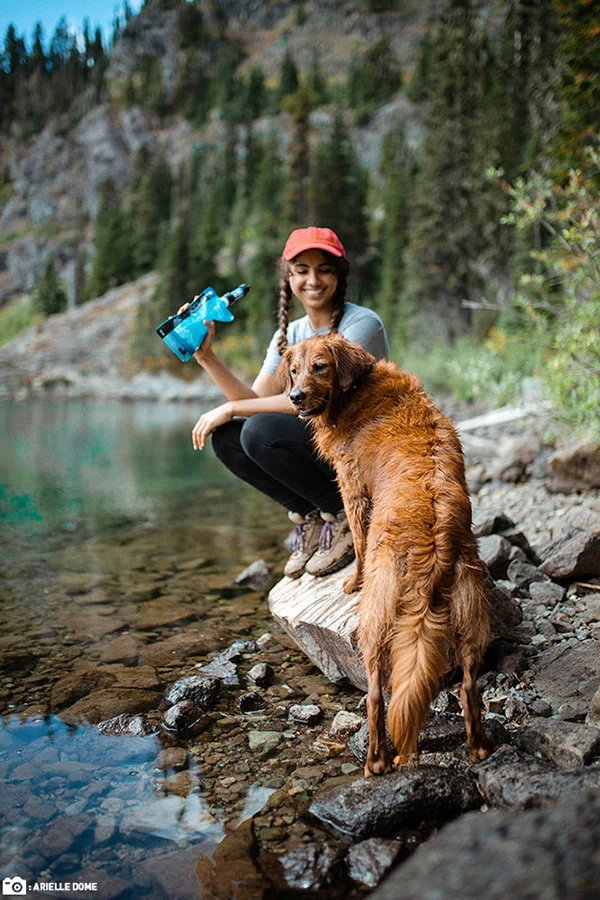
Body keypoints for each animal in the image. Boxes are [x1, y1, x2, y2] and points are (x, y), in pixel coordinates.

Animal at [280, 334, 492, 776]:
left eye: (320, 367)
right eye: (294, 369)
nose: (294, 396)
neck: (355, 391)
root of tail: (436, 541)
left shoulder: (353, 488)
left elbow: (358, 545)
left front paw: (351, 581)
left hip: (377, 614)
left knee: (377, 694)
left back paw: (376, 760)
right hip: (471, 611)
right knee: (468, 685)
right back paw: (479, 748)